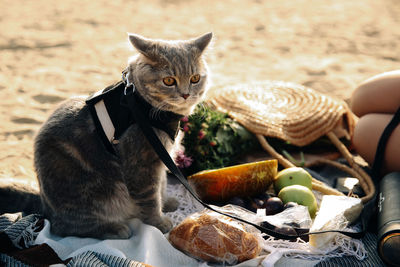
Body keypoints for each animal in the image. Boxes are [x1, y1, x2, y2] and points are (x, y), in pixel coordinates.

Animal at [4, 32, 212, 240]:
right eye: (169, 81)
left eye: (195, 78)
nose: (186, 94)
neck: (141, 104)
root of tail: (45, 205)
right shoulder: (142, 164)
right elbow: (150, 198)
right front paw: (158, 222)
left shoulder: (160, 159)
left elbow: (161, 185)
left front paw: (166, 202)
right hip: (97, 192)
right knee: (65, 227)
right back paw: (114, 228)